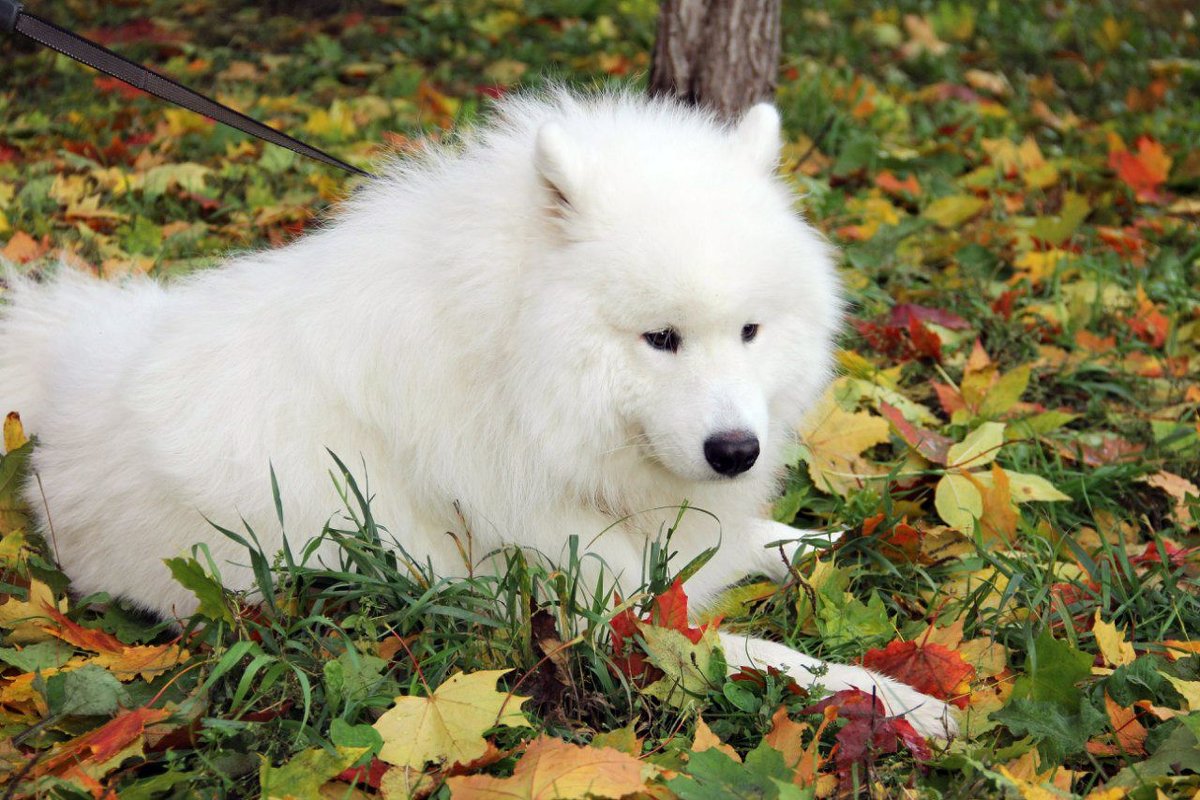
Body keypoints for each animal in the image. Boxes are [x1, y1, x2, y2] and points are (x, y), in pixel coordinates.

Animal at [2, 90, 955, 734]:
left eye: (750, 331)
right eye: (660, 338)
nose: (736, 452)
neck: (510, 377)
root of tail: (66, 367)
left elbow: (777, 543)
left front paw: (866, 544)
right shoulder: (598, 621)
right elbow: (774, 659)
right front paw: (908, 701)